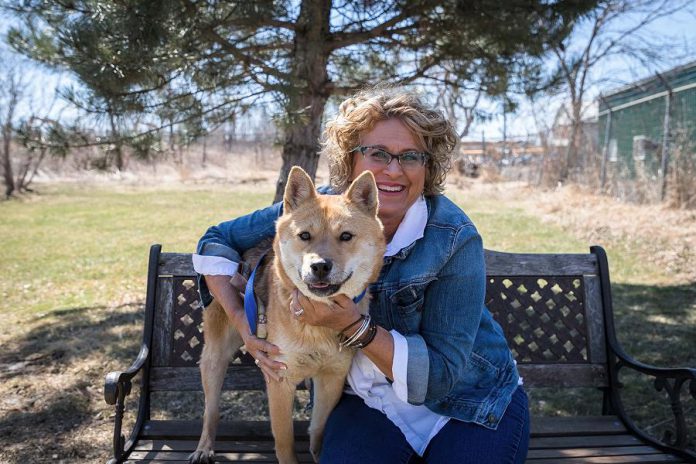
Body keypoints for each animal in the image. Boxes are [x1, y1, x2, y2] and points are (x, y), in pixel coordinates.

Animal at [190, 167, 386, 464]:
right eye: (304, 236)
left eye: (346, 236)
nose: (320, 266)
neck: (316, 325)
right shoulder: (280, 379)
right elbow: (284, 440)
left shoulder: (332, 377)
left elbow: (319, 429)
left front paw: (317, 452)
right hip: (215, 359)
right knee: (210, 411)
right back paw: (204, 447)